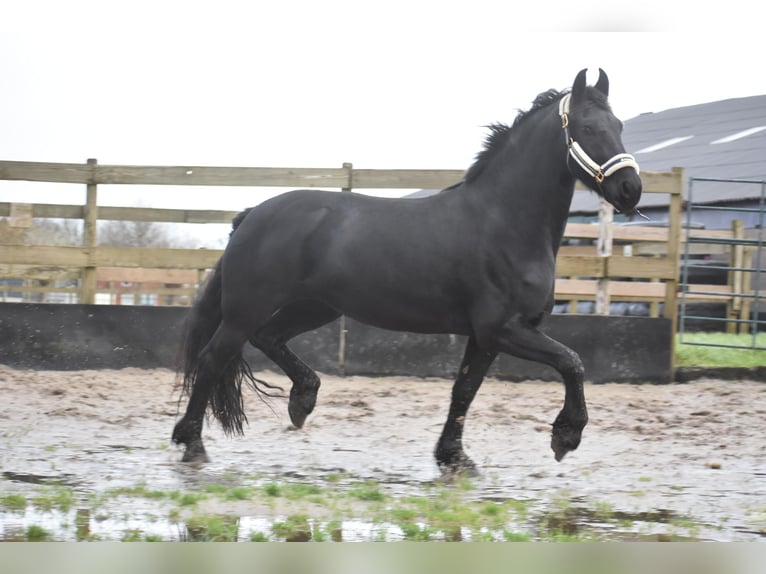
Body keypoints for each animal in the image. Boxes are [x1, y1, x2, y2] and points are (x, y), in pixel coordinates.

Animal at [172, 68, 640, 472]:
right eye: (587, 128)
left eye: (618, 124)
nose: (630, 188)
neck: (503, 220)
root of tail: (252, 214)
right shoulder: (503, 329)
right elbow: (572, 362)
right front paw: (566, 436)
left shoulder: (485, 338)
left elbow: (464, 391)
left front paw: (453, 457)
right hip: (246, 310)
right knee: (214, 359)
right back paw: (191, 443)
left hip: (316, 307)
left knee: (268, 338)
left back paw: (302, 400)